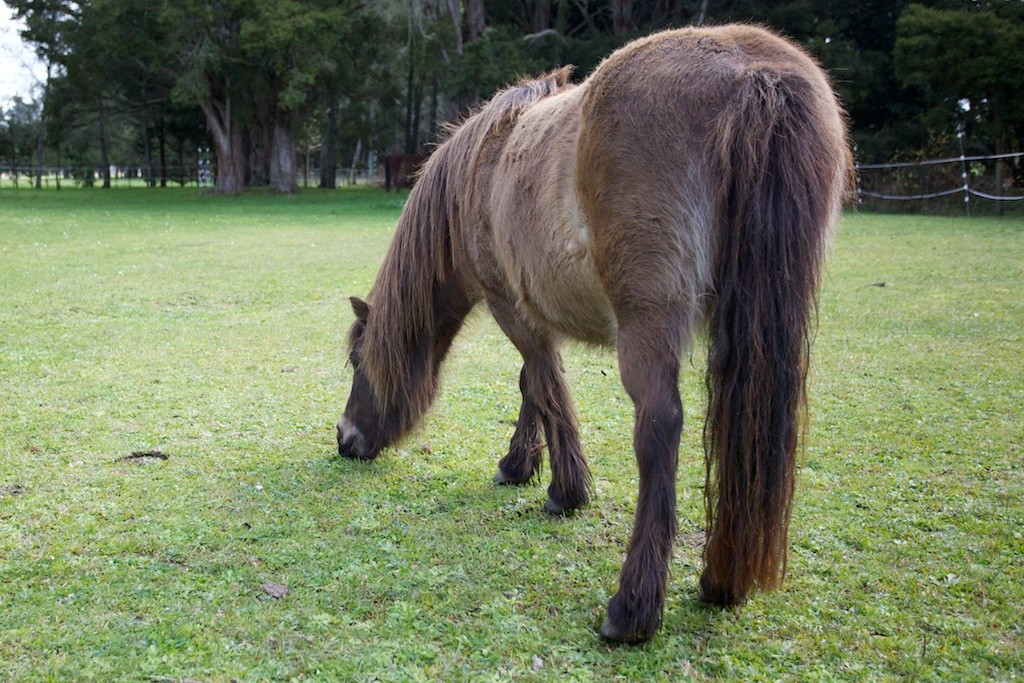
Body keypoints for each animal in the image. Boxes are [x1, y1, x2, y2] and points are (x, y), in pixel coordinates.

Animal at [333, 26, 847, 643]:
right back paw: (723, 581)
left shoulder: (511, 306)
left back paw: (633, 609)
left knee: (659, 427)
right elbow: (534, 385)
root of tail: (755, 76)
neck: (479, 170)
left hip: (648, 322)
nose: (343, 438)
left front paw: (563, 491)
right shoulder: (534, 310)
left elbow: (543, 383)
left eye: (358, 361)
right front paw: (521, 466)